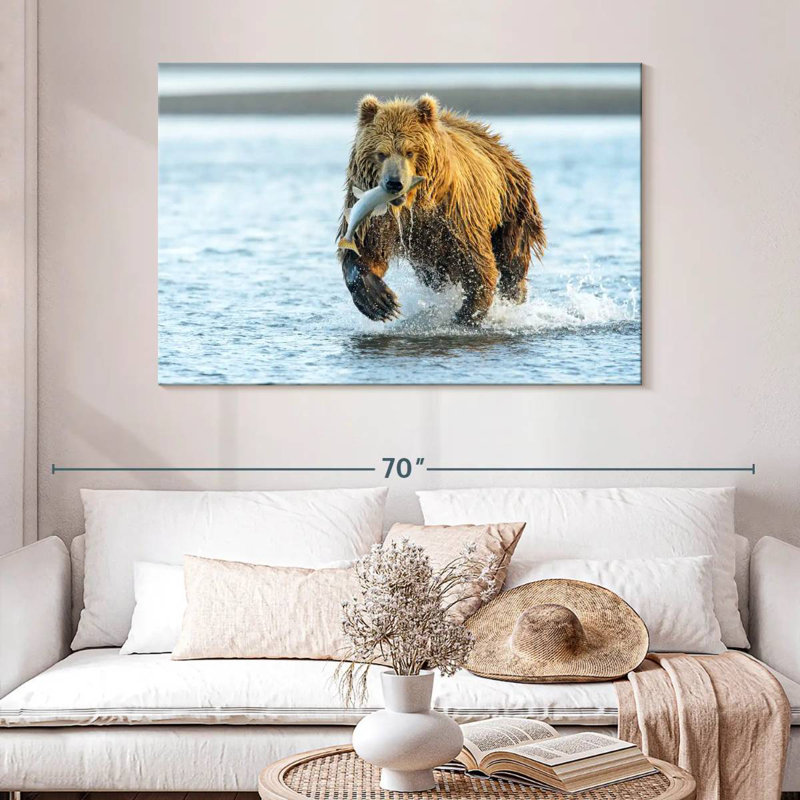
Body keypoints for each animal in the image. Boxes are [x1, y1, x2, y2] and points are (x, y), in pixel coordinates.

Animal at [337, 94, 546, 325]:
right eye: (381, 153)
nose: (394, 183)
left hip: (511, 205)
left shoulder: (456, 213)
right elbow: (367, 250)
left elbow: (476, 260)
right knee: (434, 274)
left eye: (410, 151)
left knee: (513, 255)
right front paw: (381, 301)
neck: (413, 204)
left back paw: (514, 294)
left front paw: (467, 313)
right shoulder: (375, 217)